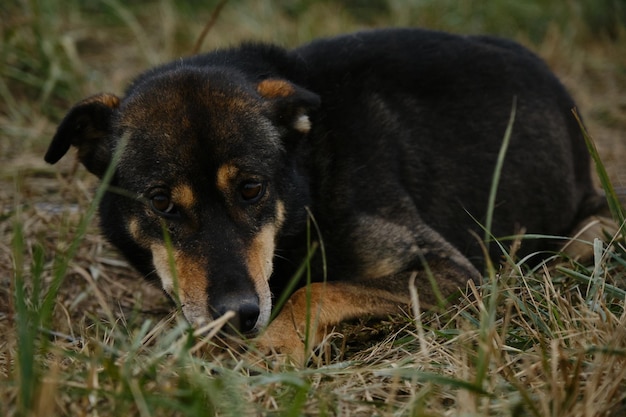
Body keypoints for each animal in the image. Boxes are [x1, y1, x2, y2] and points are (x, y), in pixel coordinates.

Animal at [46, 28, 612, 360]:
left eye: (251, 189)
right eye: (161, 202)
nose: (238, 314)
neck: (308, 189)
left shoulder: (453, 274)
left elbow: (314, 290)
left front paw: (275, 348)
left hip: (593, 231)